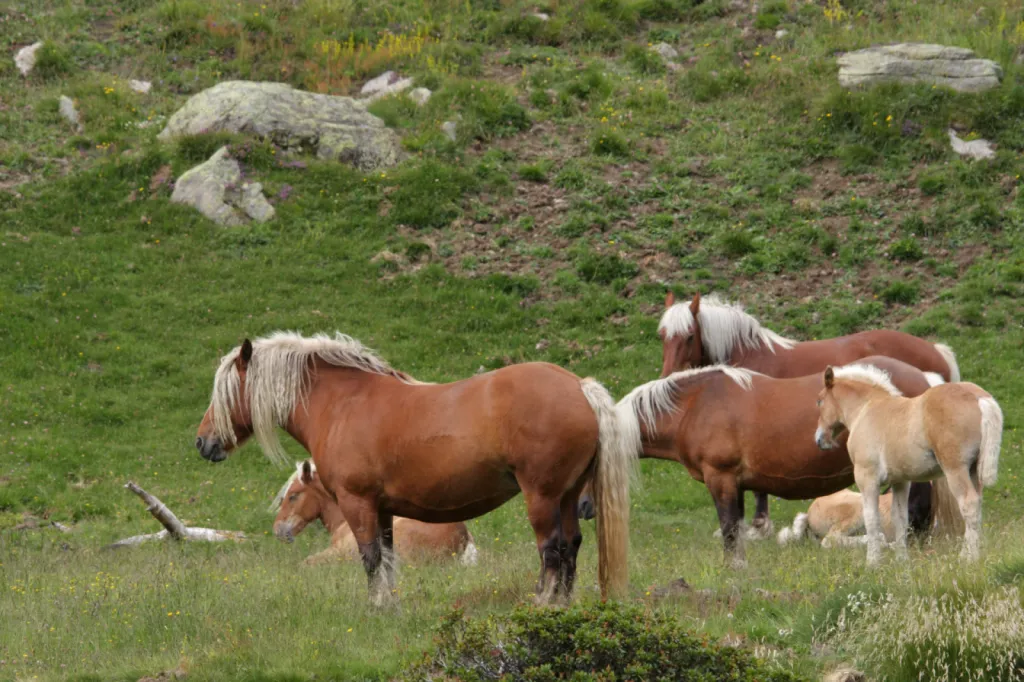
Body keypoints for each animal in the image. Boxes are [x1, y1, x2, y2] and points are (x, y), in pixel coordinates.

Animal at [615, 355, 950, 567]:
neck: (697, 404)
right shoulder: (735, 484)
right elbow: (736, 528)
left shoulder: (720, 478)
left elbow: (728, 528)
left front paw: (732, 570)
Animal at [653, 291, 960, 537]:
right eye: (662, 336)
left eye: (689, 336)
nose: (668, 378)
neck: (750, 358)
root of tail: (934, 353)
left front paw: (759, 527)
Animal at [815, 365, 1002, 565]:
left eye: (819, 401)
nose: (819, 439)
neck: (866, 410)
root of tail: (980, 398)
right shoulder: (900, 481)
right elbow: (900, 518)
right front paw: (901, 560)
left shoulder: (867, 477)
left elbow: (872, 519)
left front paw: (872, 563)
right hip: (972, 470)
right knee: (977, 505)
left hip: (955, 469)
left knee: (969, 504)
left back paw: (969, 558)